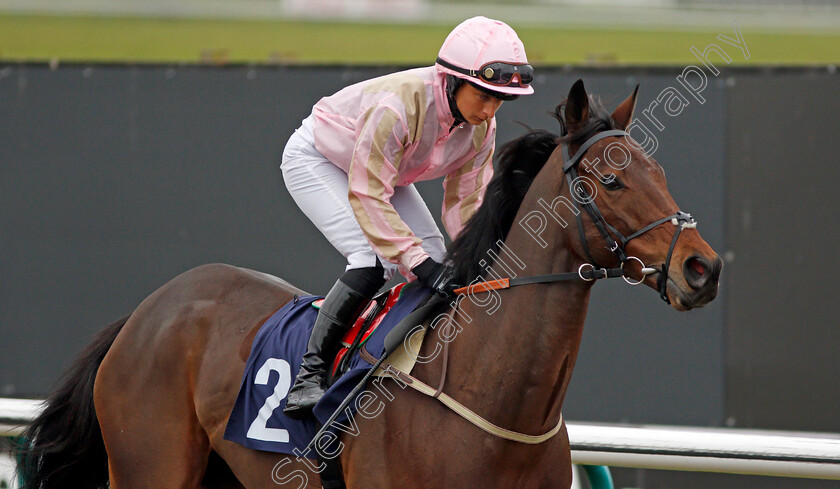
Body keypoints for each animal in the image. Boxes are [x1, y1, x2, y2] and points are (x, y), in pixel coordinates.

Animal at [16, 78, 720, 486]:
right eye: (611, 181)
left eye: (659, 172)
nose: (701, 268)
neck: (492, 404)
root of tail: (147, 311)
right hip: (151, 466)